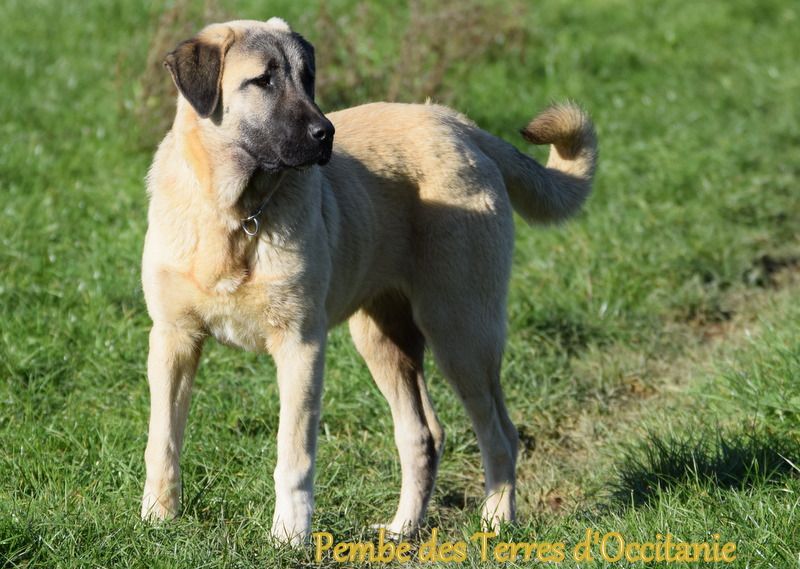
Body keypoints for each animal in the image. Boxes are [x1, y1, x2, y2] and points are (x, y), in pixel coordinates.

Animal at [142, 16, 592, 540]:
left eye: (308, 77)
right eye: (263, 80)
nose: (326, 134)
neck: (233, 214)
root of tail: (459, 124)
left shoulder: (300, 345)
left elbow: (293, 453)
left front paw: (289, 536)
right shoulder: (173, 339)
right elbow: (163, 441)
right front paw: (156, 519)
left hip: (461, 333)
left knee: (499, 434)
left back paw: (497, 523)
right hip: (382, 339)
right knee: (422, 434)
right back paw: (403, 529)